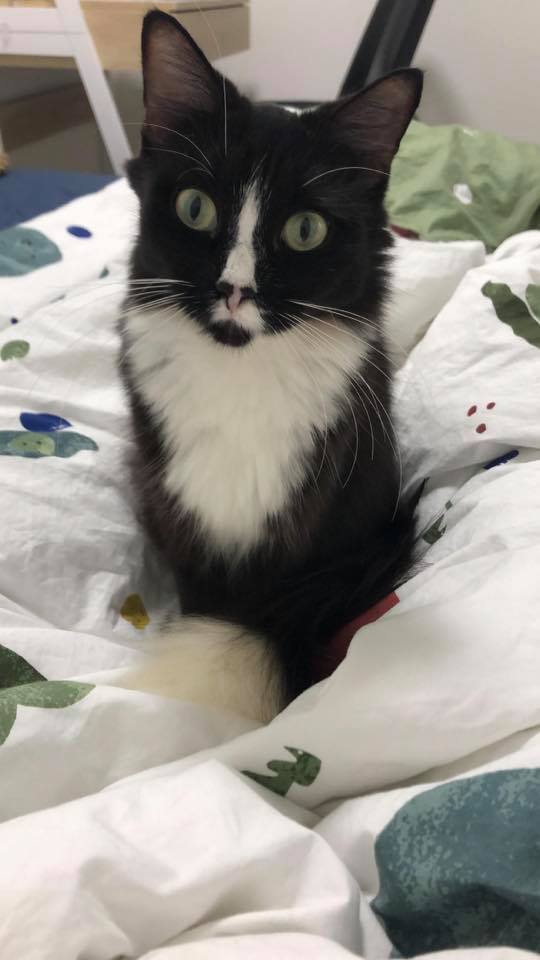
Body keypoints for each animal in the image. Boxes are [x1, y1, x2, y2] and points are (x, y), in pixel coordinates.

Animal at [119, 10, 422, 722]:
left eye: (305, 230)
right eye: (195, 207)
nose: (236, 289)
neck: (240, 376)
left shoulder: (313, 521)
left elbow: (280, 610)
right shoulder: (181, 515)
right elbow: (206, 601)